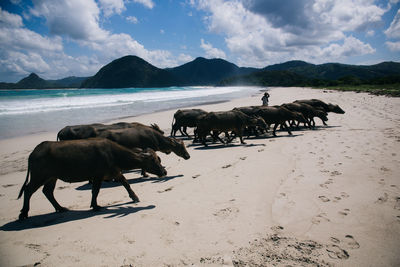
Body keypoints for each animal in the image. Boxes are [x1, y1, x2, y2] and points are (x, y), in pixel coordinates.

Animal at [17, 139, 166, 221]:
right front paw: (95, 206)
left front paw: (134, 197)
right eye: (154, 160)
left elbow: (126, 183)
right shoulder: (98, 176)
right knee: (28, 190)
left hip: (52, 177)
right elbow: (96, 191)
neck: (114, 154)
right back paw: (23, 213)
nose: (164, 172)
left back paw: (60, 208)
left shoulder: (114, 173)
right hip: (39, 176)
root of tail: (34, 152)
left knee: (47, 192)